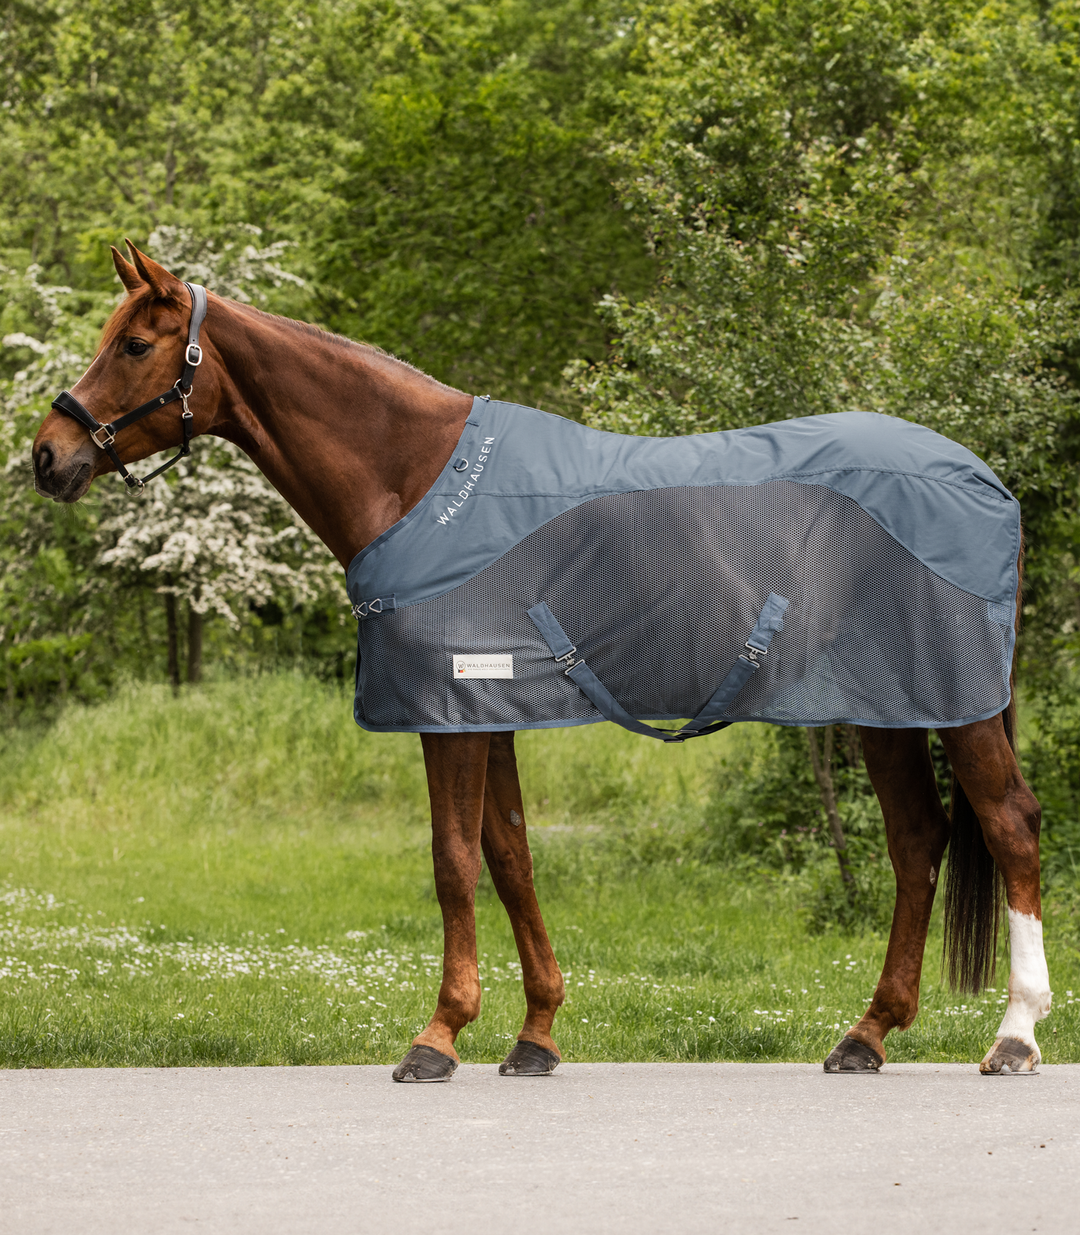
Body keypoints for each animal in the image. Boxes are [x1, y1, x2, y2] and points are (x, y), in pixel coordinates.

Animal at [31, 245, 1042, 1076]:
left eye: (134, 345)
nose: (48, 454)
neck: (418, 479)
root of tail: (983, 479)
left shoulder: (447, 713)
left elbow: (452, 860)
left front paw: (438, 1035)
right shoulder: (489, 711)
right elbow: (510, 855)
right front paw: (535, 1033)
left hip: (954, 706)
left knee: (1009, 825)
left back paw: (1015, 1036)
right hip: (888, 708)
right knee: (919, 842)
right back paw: (866, 1034)